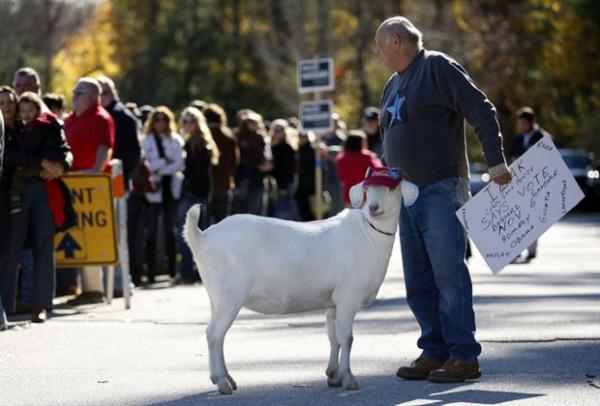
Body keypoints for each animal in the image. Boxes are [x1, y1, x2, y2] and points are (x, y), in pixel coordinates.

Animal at [183, 177, 418, 394]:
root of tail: (201, 238)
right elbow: (347, 339)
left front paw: (333, 376)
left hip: (216, 297)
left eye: (391, 189)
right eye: (368, 190)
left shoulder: (334, 302)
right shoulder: (348, 298)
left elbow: (334, 338)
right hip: (229, 295)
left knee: (219, 336)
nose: (373, 208)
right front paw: (349, 379)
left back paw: (228, 379)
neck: (367, 234)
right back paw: (221, 383)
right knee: (213, 334)